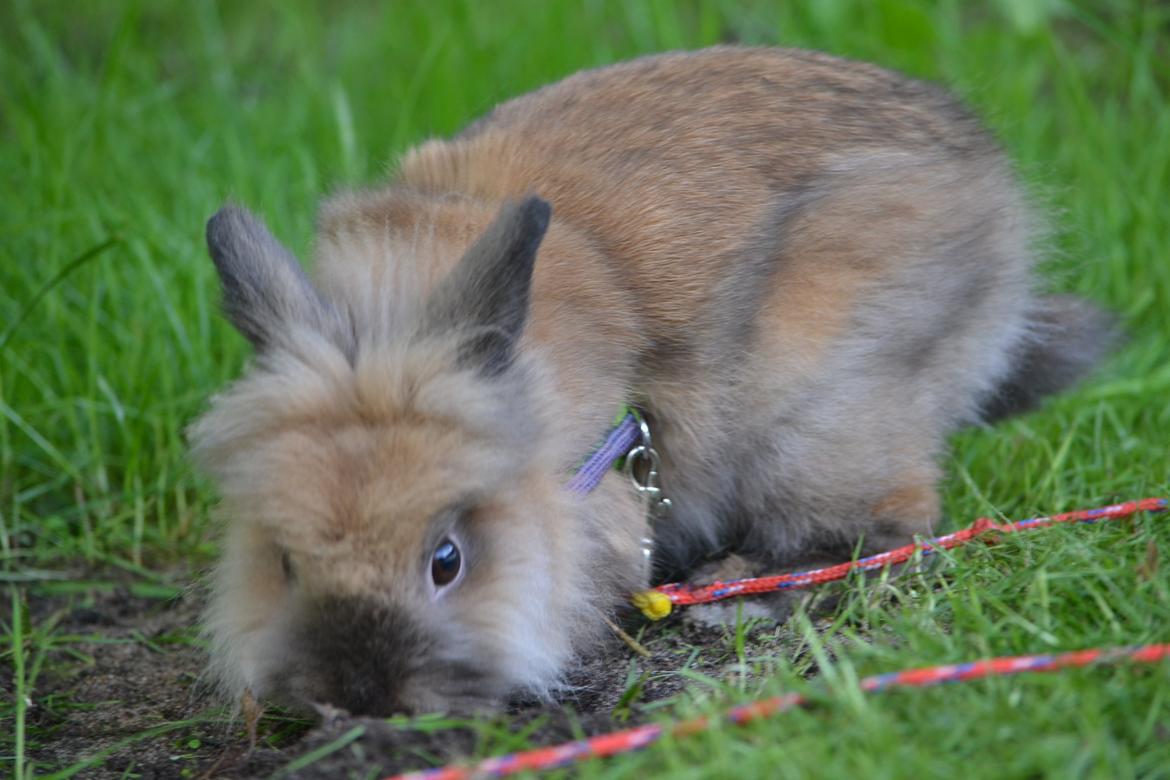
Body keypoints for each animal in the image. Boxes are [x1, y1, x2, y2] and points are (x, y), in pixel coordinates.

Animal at [191, 47, 1113, 720]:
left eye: (446, 561)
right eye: (282, 562)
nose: (363, 697)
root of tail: (998, 204)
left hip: (821, 415)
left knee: (891, 529)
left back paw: (727, 595)